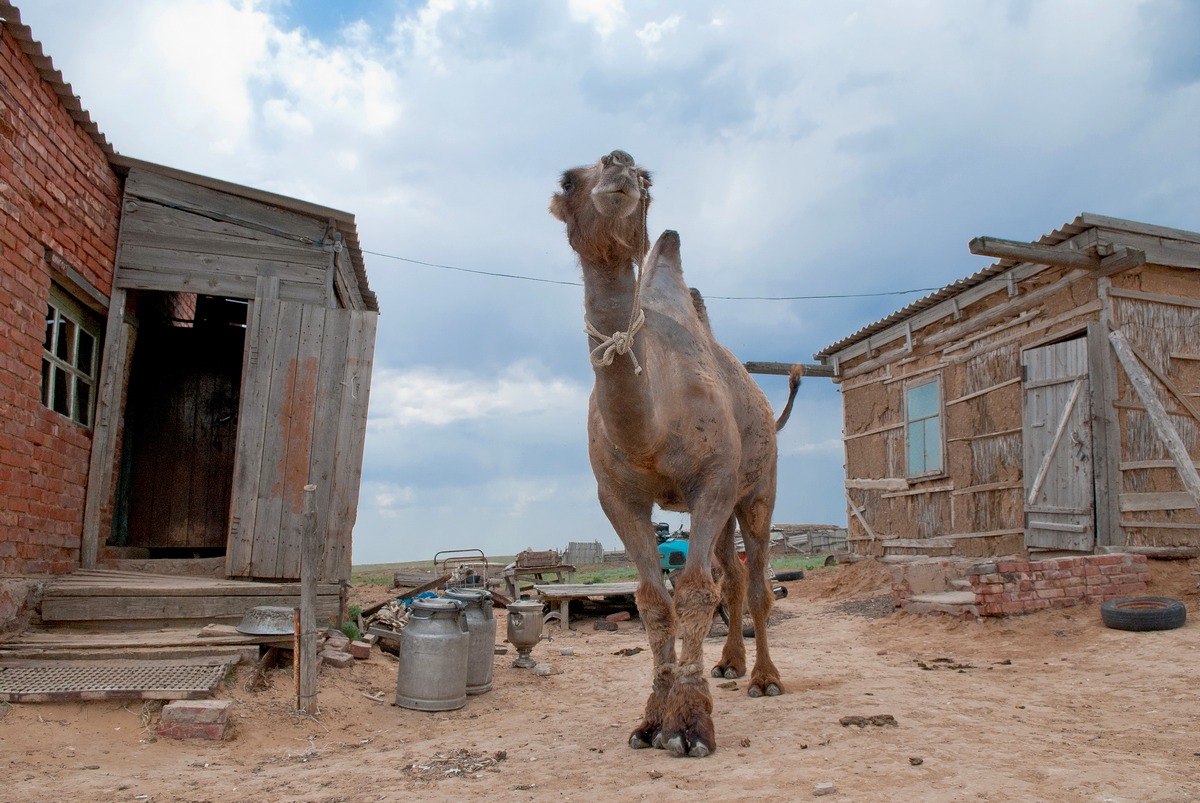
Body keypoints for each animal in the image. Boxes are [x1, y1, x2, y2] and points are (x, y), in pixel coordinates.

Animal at [549, 150, 796, 758]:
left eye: (646, 179)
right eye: (568, 179)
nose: (619, 166)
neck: (651, 430)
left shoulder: (712, 482)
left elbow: (694, 592)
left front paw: (689, 725)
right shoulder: (618, 498)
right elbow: (653, 600)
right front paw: (651, 720)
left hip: (757, 489)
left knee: (757, 582)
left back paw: (765, 679)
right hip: (727, 506)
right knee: (732, 575)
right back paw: (729, 666)